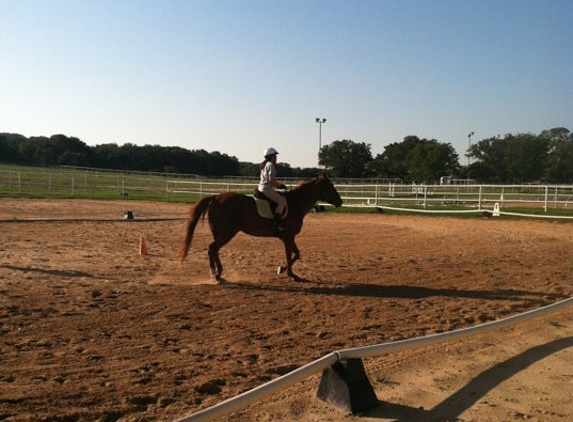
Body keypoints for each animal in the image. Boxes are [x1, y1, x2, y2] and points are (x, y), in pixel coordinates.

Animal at [180, 173, 340, 282]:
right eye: (330, 187)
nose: (340, 201)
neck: (296, 204)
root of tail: (216, 197)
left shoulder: (287, 237)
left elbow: (296, 254)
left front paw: (282, 270)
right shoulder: (288, 236)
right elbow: (291, 255)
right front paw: (290, 274)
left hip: (220, 233)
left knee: (213, 250)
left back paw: (215, 274)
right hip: (227, 232)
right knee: (213, 248)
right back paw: (217, 274)